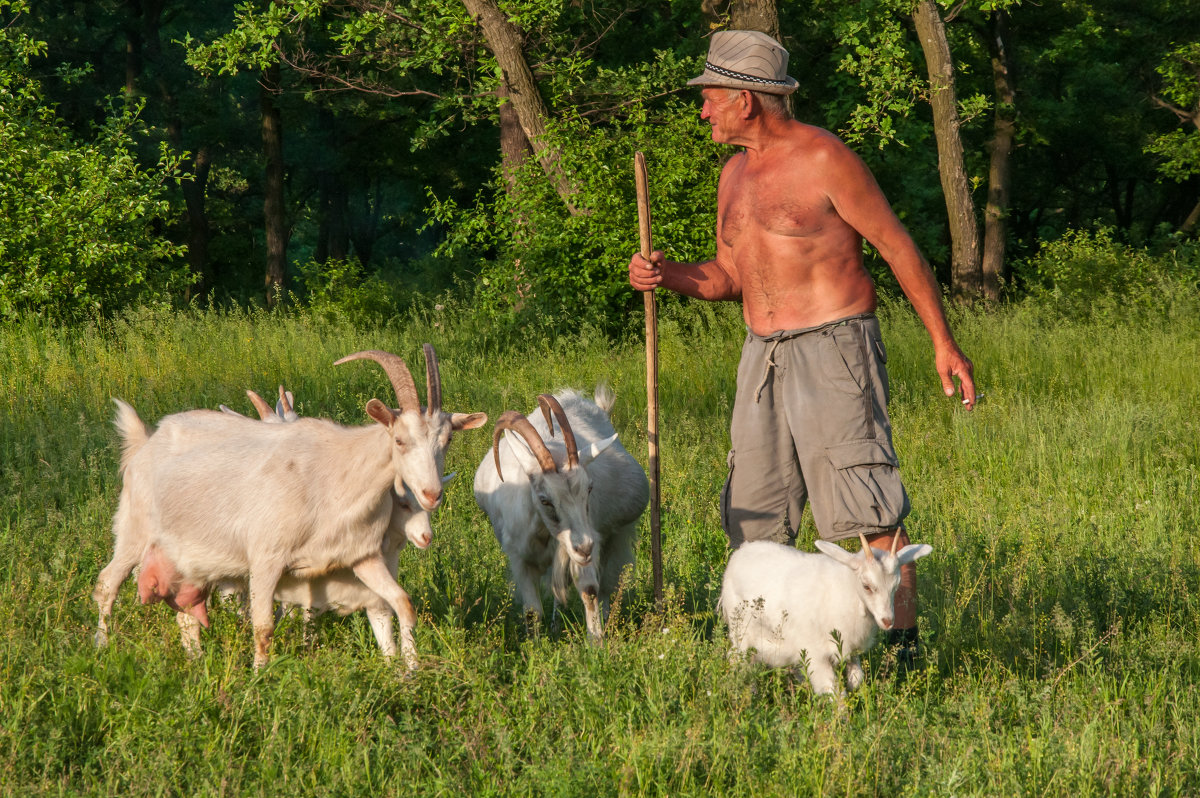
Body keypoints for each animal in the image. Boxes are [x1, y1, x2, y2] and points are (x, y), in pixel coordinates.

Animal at [92, 345, 487, 667]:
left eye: (447, 440)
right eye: (400, 440)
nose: (432, 494)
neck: (338, 476)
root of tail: (146, 441)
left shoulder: (362, 555)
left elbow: (401, 603)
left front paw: (409, 670)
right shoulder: (266, 557)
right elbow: (263, 626)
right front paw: (259, 679)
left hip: (189, 558)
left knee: (187, 612)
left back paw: (197, 661)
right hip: (135, 529)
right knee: (106, 583)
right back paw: (102, 648)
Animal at [472, 384, 652, 638]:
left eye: (589, 489)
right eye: (545, 500)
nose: (584, 547)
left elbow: (590, 591)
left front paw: (597, 641)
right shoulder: (519, 558)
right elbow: (532, 612)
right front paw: (535, 644)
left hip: (616, 537)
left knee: (605, 585)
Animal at [715, 532, 931, 696]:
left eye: (896, 586)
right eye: (866, 586)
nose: (887, 621)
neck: (847, 592)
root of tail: (742, 552)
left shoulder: (850, 650)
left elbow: (857, 679)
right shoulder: (816, 654)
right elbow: (834, 692)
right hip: (741, 631)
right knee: (738, 660)